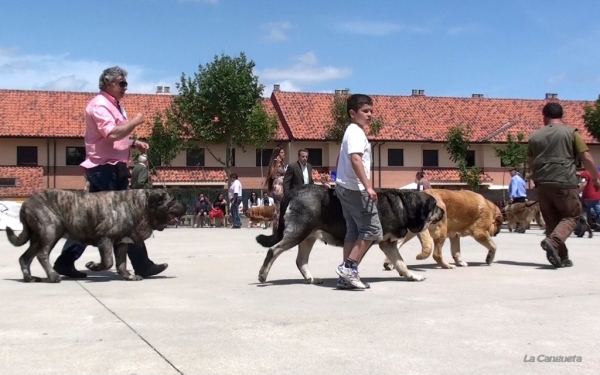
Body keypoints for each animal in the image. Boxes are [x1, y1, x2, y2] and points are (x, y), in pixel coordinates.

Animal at [5, 189, 186, 284]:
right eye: (173, 201)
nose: (184, 206)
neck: (140, 206)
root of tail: (25, 204)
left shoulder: (122, 241)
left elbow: (121, 262)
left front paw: (128, 275)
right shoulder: (104, 238)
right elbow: (108, 261)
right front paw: (93, 266)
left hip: (37, 237)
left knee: (25, 257)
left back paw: (29, 277)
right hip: (50, 231)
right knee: (42, 254)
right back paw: (53, 276)